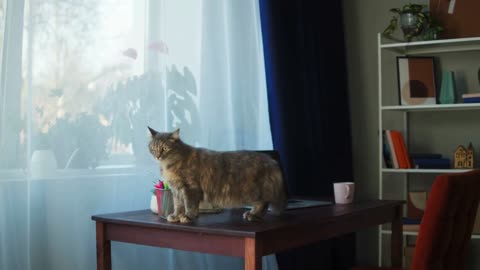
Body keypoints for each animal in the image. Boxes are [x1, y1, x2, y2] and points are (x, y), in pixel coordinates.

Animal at [148, 127, 286, 224]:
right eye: (153, 148)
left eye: (164, 148)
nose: (157, 156)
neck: (169, 165)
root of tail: (272, 161)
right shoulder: (176, 189)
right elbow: (178, 206)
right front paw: (176, 216)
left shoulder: (190, 188)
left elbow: (190, 205)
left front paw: (187, 217)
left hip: (253, 191)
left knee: (264, 203)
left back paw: (253, 215)